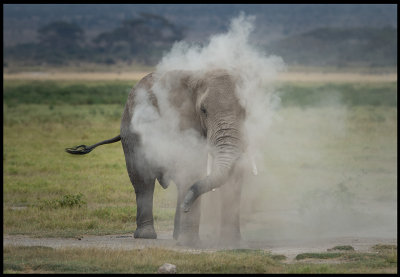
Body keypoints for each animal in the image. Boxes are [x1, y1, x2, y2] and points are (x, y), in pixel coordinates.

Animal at [66, 69, 256, 246]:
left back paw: (176, 235)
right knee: (142, 180)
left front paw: (232, 243)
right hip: (131, 132)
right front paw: (190, 244)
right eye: (203, 110)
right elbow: (191, 167)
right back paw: (147, 235)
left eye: (245, 111)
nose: (186, 207)